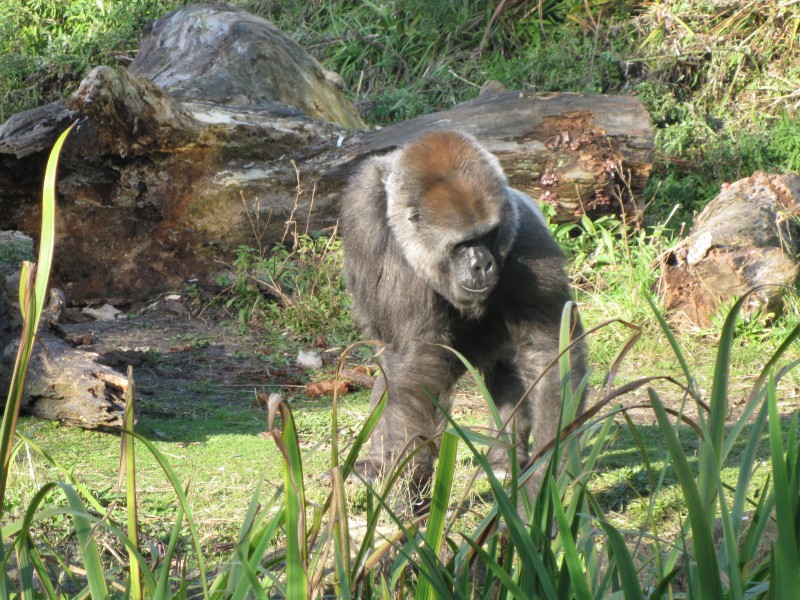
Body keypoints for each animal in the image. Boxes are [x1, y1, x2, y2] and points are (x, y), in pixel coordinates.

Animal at [340, 130, 588, 502]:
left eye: (488, 235)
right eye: (461, 244)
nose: (483, 263)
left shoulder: (524, 232)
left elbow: (547, 353)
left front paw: (543, 480)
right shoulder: (362, 207)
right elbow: (410, 362)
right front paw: (408, 477)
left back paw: (502, 459)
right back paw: (378, 461)